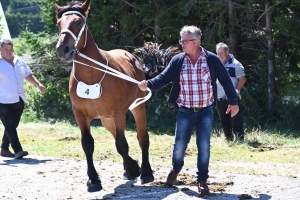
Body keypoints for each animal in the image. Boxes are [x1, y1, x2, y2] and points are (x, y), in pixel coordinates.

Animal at [54, 0, 155, 192]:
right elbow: (88, 144)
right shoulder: (80, 115)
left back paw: (145, 172)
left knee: (142, 138)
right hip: (106, 119)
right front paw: (94, 180)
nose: (63, 49)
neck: (91, 75)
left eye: (79, 22)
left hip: (137, 107)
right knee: (117, 136)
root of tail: (130, 56)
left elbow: (122, 144)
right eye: (59, 23)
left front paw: (135, 169)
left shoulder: (118, 114)